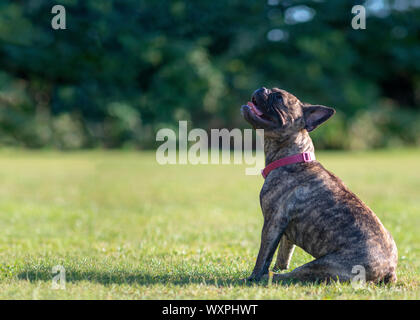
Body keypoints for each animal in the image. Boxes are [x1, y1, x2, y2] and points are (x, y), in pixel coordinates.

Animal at [241, 87, 398, 282]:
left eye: (278, 97)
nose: (262, 89)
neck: (293, 157)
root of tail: (388, 270)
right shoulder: (285, 232)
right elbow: (283, 253)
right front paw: (279, 266)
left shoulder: (272, 222)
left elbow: (264, 255)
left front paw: (253, 277)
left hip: (318, 265)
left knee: (291, 275)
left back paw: (269, 277)